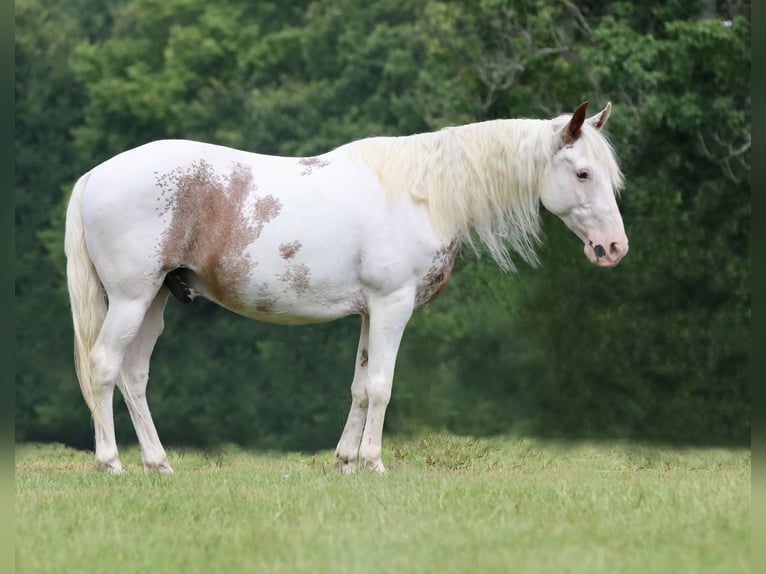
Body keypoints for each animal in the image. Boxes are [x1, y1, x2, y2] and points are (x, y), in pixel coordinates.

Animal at [65, 101, 628, 475]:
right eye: (582, 173)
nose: (613, 248)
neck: (423, 194)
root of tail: (95, 176)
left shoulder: (369, 312)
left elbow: (359, 386)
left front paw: (346, 463)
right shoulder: (393, 306)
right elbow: (381, 385)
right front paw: (374, 463)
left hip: (155, 300)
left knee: (134, 375)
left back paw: (158, 464)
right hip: (132, 299)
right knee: (104, 366)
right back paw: (111, 463)